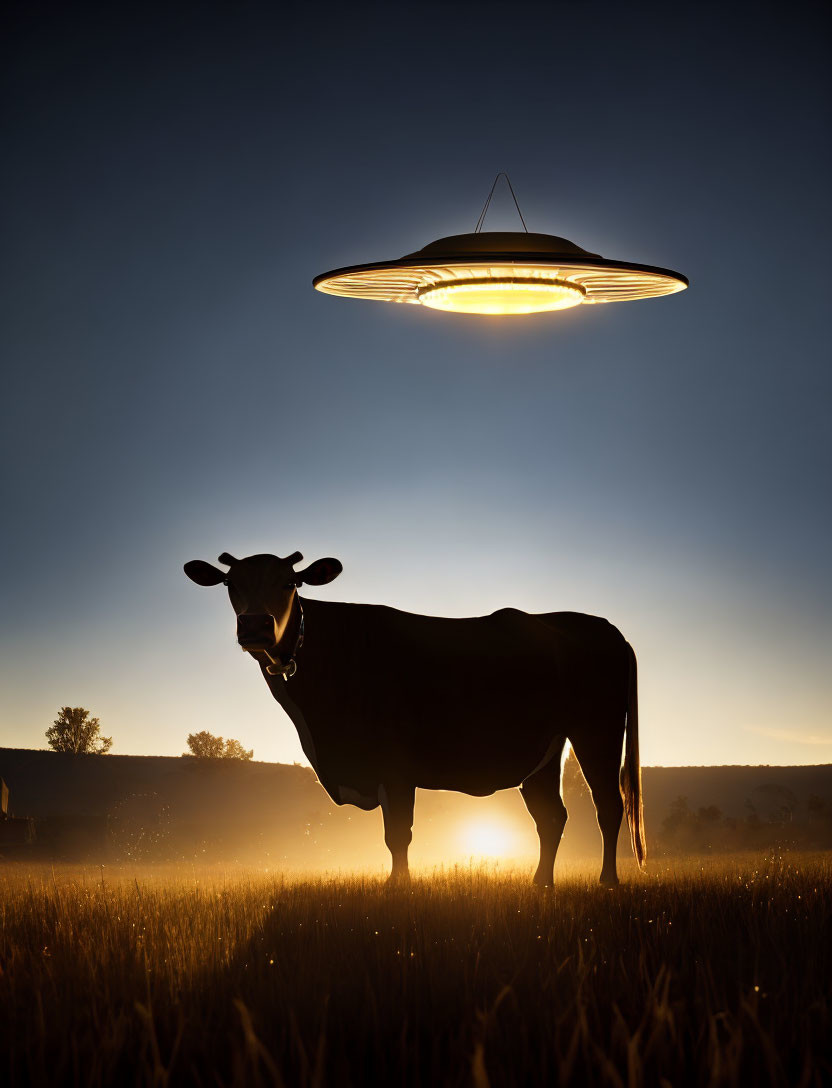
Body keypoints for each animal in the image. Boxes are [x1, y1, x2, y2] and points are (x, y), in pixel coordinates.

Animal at [184, 552, 643, 883]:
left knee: (608, 806)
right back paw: (540, 884)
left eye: (290, 582)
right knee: (552, 817)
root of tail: (605, 627)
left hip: (596, 731)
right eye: (230, 583)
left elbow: (397, 833)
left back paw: (607, 881)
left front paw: (398, 887)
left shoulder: (394, 767)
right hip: (545, 750)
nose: (255, 625)